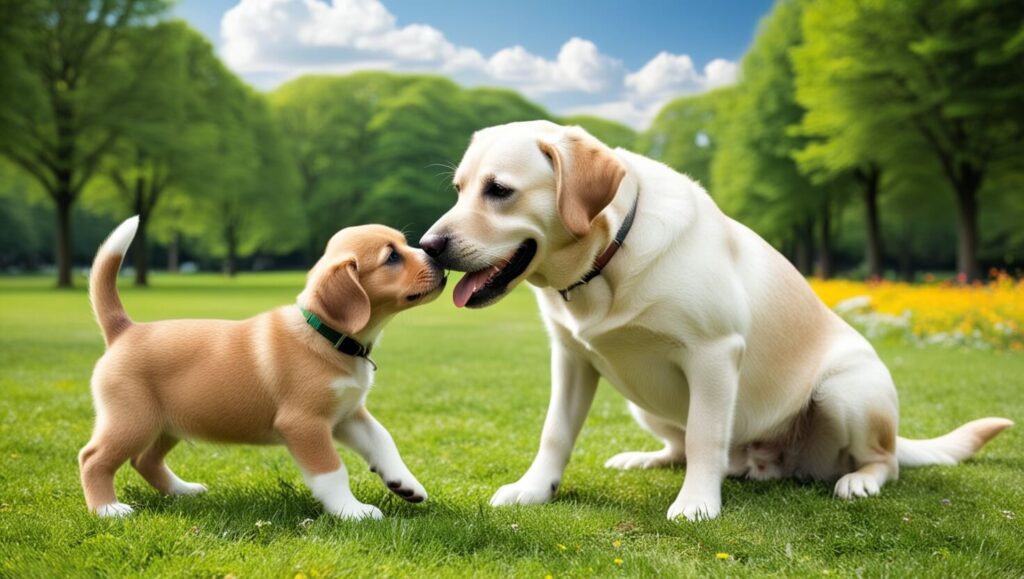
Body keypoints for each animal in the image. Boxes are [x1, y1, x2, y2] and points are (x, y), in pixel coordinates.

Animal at [80, 214, 444, 516]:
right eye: (392, 256)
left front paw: (405, 483)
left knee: (145, 460)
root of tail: (125, 329)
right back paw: (108, 509)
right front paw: (351, 511)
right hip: (132, 420)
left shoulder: (347, 415)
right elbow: (332, 471)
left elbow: (383, 439)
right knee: (93, 458)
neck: (327, 336)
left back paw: (183, 490)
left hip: (169, 423)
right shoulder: (305, 424)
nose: (438, 257)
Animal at [419, 120, 1011, 518]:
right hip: (643, 404)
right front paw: (534, 488)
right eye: (459, 190)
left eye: (499, 190)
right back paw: (648, 458)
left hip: (847, 391)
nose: (427, 246)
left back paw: (859, 481)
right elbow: (555, 433)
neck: (608, 260)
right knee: (680, 447)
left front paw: (697, 505)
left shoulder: (713, 354)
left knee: (883, 460)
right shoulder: (571, 358)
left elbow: (706, 435)